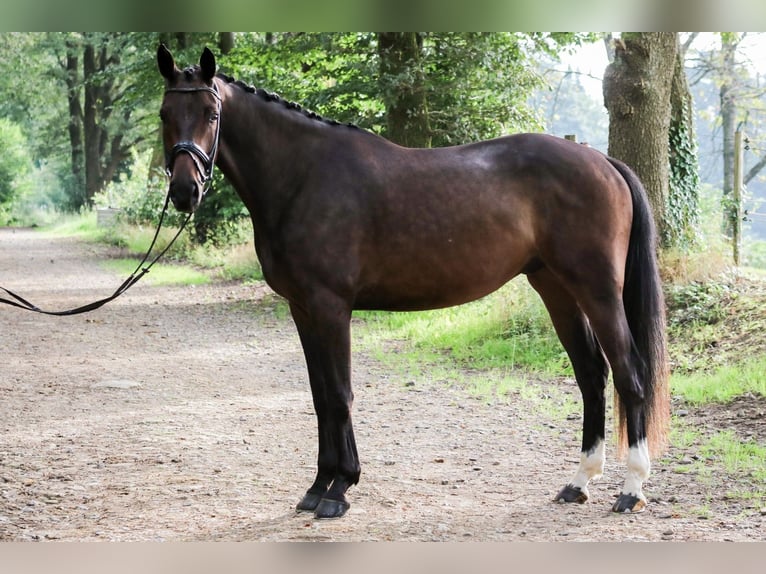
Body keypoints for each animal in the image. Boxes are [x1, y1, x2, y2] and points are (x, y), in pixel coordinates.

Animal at [158, 46, 672, 520]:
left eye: (212, 114)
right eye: (166, 113)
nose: (185, 191)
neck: (303, 175)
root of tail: (602, 161)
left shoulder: (330, 307)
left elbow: (340, 394)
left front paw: (339, 490)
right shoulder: (302, 309)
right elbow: (320, 396)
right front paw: (318, 486)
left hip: (597, 291)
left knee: (629, 373)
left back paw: (631, 489)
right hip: (557, 289)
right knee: (591, 375)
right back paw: (578, 482)